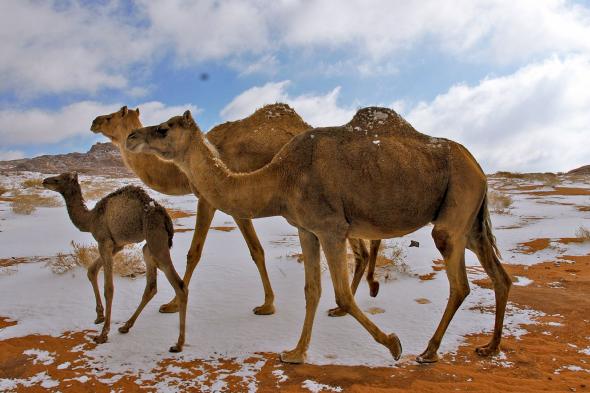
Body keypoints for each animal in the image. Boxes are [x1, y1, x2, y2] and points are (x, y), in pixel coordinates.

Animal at [42, 173, 188, 350]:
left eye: (58, 179)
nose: (44, 181)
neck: (91, 218)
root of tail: (165, 217)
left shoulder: (104, 242)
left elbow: (109, 288)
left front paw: (103, 335)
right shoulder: (117, 245)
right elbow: (91, 270)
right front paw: (99, 316)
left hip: (156, 240)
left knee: (180, 287)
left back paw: (178, 344)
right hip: (149, 246)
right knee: (151, 285)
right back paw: (126, 326)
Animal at [90, 104, 382, 316]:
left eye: (112, 115)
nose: (94, 121)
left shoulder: (213, 200)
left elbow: (198, 252)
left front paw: (172, 303)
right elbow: (255, 251)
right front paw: (268, 303)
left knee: (362, 248)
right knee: (363, 248)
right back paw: (353, 300)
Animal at [126, 107, 512, 364]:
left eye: (163, 129)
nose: (132, 137)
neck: (281, 177)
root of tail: (477, 165)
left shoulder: (331, 228)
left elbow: (342, 295)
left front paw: (393, 344)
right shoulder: (306, 229)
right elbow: (312, 290)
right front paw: (295, 353)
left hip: (455, 209)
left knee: (460, 282)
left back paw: (428, 352)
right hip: (470, 220)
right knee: (500, 276)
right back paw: (489, 347)